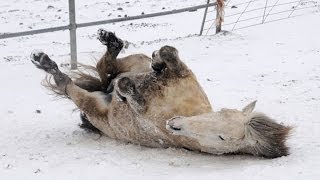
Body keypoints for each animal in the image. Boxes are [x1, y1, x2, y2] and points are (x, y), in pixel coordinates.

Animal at [31, 28, 292, 158]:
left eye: (222, 139)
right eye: (223, 113)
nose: (174, 125)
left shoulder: (144, 115)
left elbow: (136, 102)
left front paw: (128, 91)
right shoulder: (181, 73)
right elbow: (169, 51)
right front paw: (157, 61)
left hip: (91, 105)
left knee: (68, 83)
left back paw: (46, 63)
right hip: (134, 61)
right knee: (107, 68)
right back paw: (112, 43)